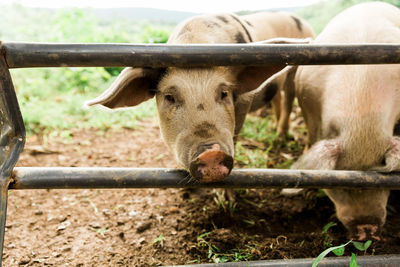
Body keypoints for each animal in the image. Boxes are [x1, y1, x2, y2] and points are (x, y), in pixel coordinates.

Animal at [87, 12, 316, 184]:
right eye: (169, 97)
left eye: (224, 93)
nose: (211, 153)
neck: (196, 44)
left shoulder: (243, 102)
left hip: (295, 73)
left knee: (289, 97)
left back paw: (281, 136)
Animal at [260, 1, 400, 241]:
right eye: (340, 185)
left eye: (383, 180)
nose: (367, 229)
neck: (361, 122)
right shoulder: (308, 103)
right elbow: (312, 137)